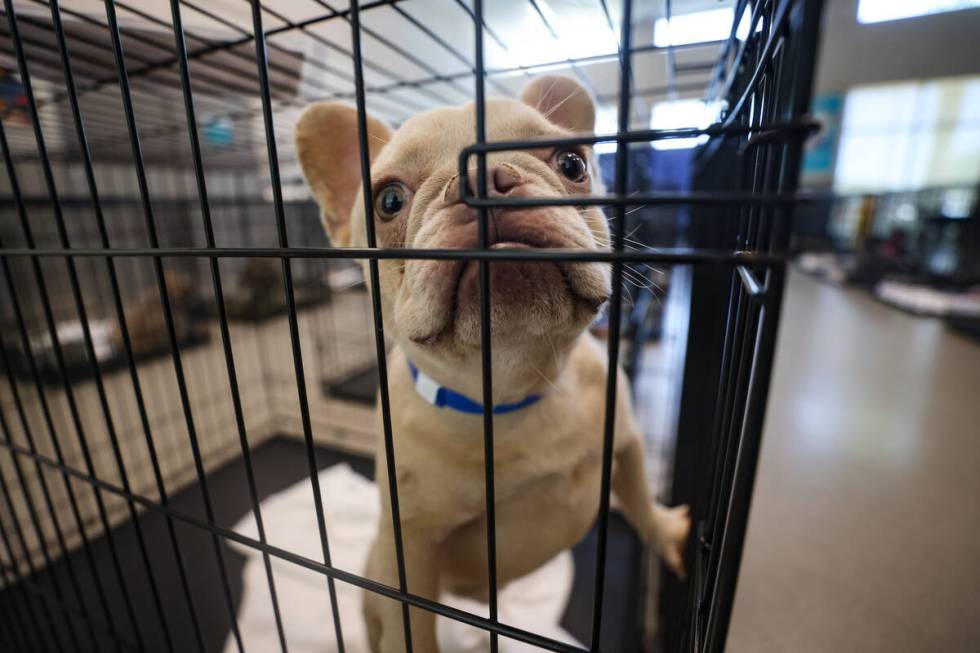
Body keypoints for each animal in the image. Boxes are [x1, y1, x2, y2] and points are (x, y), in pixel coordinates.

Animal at [298, 75, 688, 652]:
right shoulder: (412, 545)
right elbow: (413, 625)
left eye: (572, 163)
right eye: (388, 200)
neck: (516, 382)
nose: (483, 177)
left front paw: (665, 532)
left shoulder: (627, 443)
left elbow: (639, 499)